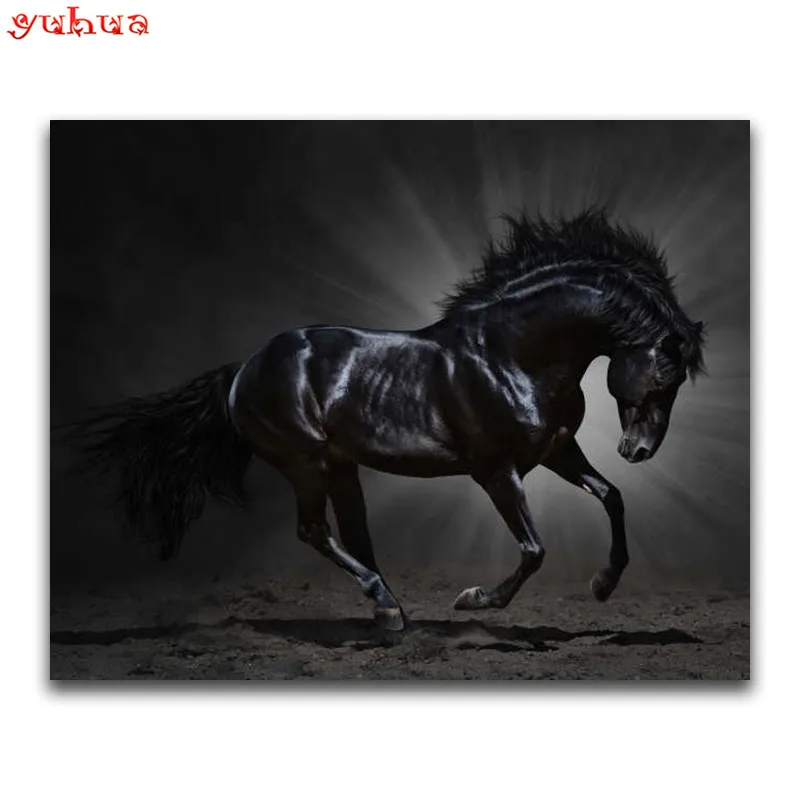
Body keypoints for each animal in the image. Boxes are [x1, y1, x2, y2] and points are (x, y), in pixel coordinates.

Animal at [64, 209, 706, 631]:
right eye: (663, 376)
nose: (638, 450)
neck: (512, 355)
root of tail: (243, 369)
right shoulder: (496, 471)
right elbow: (533, 549)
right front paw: (474, 600)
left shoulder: (555, 451)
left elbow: (612, 497)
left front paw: (603, 584)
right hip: (305, 463)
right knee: (314, 531)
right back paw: (387, 607)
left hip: (339, 466)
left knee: (353, 535)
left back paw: (391, 611)